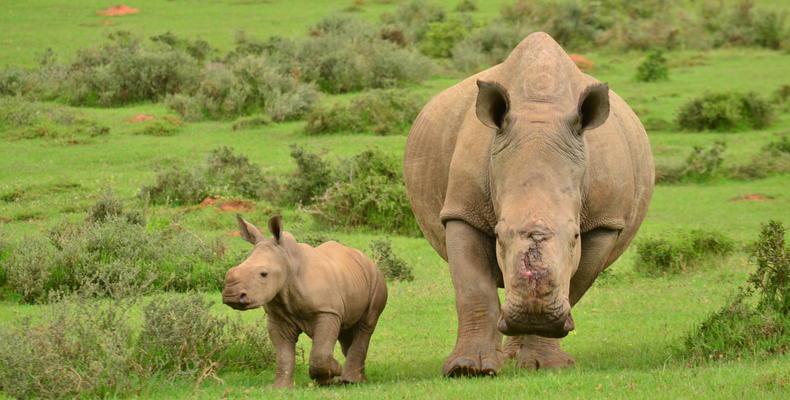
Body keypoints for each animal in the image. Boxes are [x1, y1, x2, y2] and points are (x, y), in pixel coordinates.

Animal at [224, 216, 388, 388]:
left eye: (263, 274)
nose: (231, 296)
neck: (288, 262)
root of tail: (366, 259)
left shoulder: (327, 310)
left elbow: (320, 353)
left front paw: (334, 370)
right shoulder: (278, 317)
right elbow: (283, 354)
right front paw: (281, 388)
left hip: (376, 278)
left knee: (366, 324)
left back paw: (350, 380)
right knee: (347, 331)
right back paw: (354, 379)